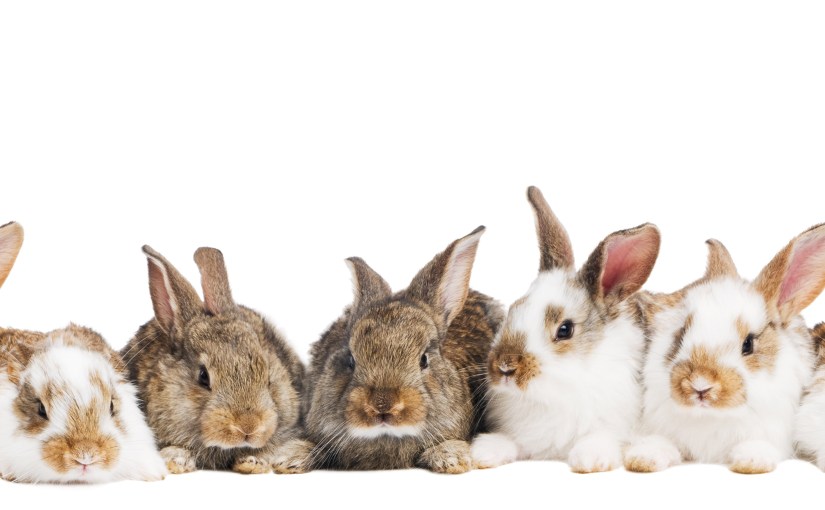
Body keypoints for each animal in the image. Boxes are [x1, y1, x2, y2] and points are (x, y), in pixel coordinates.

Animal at [470, 186, 661, 473]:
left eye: (565, 330)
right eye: (513, 308)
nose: (504, 367)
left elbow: (602, 438)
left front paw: (590, 458)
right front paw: (484, 452)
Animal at [624, 224, 825, 474]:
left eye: (748, 344)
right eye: (681, 335)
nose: (700, 384)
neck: (713, 417)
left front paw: (752, 462)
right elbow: (660, 442)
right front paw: (643, 459)